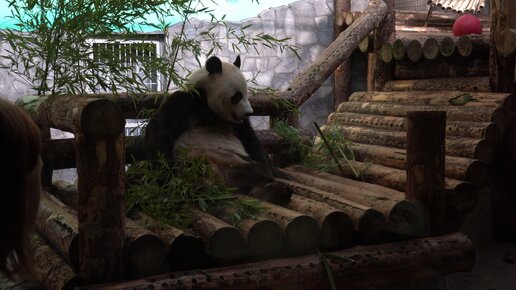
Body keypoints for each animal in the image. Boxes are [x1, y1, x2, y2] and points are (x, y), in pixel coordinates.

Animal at [145, 55, 290, 204]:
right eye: (237, 96)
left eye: (246, 94)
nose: (249, 112)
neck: (207, 102)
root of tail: (223, 181)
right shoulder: (185, 100)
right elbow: (160, 130)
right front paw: (168, 178)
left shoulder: (238, 124)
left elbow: (251, 141)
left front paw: (278, 172)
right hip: (194, 161)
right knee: (194, 167)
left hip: (237, 161)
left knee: (257, 170)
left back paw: (275, 191)